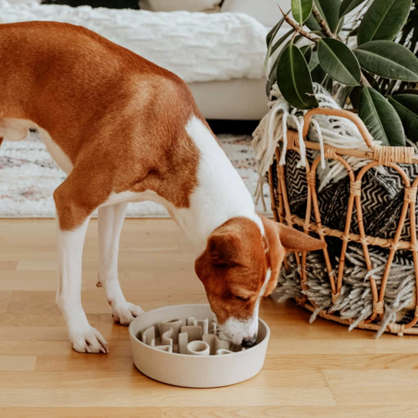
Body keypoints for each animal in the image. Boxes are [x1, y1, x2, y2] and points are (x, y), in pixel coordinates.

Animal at [0, 22, 324, 352]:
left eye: (264, 295)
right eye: (239, 295)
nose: (248, 342)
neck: (172, 135)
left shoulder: (116, 203)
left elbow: (109, 261)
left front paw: (119, 306)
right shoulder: (73, 202)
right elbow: (70, 285)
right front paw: (80, 331)